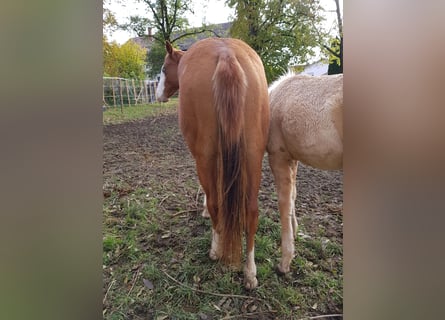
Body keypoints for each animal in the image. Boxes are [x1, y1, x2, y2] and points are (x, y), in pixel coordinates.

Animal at [154, 38, 268, 290]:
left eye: (164, 69)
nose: (158, 94)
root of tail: (226, 53)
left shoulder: (204, 154)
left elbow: (211, 193)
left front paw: (206, 212)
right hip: (253, 153)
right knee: (252, 211)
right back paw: (250, 272)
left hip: (206, 154)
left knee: (216, 201)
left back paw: (216, 249)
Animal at [266, 73, 342, 276]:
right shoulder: (293, 158)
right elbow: (293, 194)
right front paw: (296, 231)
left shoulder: (279, 157)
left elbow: (284, 203)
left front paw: (285, 262)